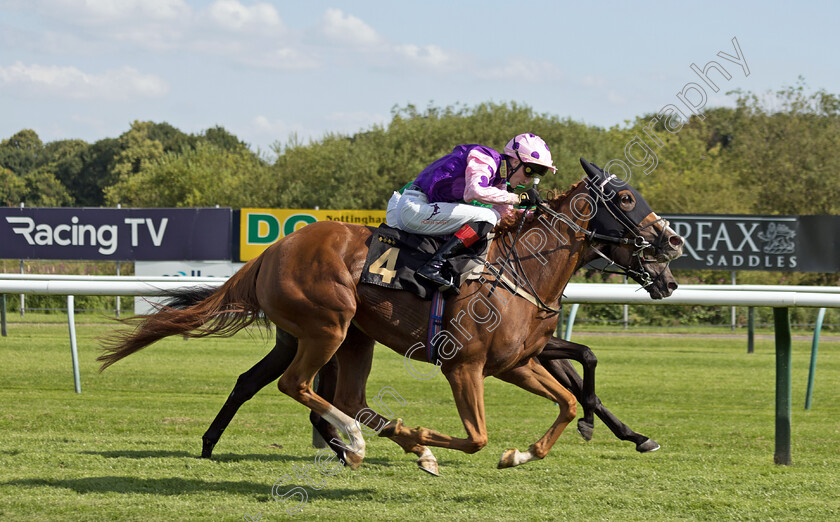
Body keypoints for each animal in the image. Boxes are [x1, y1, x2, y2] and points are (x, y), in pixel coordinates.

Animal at [98, 158, 684, 472]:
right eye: (625, 198)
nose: (673, 244)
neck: (522, 267)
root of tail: (274, 249)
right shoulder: (464, 365)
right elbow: (477, 435)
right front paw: (432, 445)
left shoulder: (517, 361)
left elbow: (568, 397)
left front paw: (526, 451)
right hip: (328, 327)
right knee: (300, 387)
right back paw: (356, 444)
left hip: (344, 337)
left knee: (324, 393)